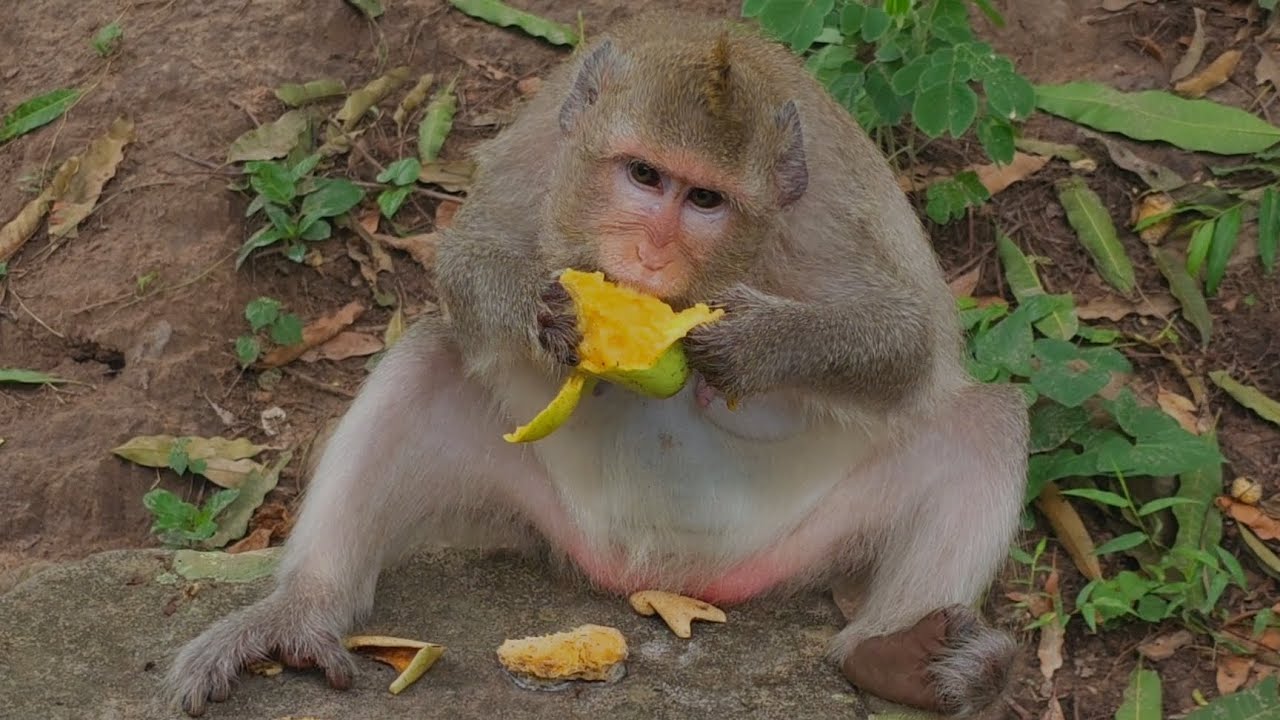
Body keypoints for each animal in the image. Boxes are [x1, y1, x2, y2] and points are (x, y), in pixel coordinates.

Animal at [166, 11, 1028, 717]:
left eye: (705, 201)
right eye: (644, 176)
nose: (650, 257)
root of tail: (652, 578)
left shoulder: (833, 208)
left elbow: (909, 341)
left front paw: (756, 342)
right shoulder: (542, 147)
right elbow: (465, 261)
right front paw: (545, 309)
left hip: (800, 544)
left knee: (985, 419)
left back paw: (898, 655)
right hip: (531, 510)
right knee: (426, 359)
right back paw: (300, 613)